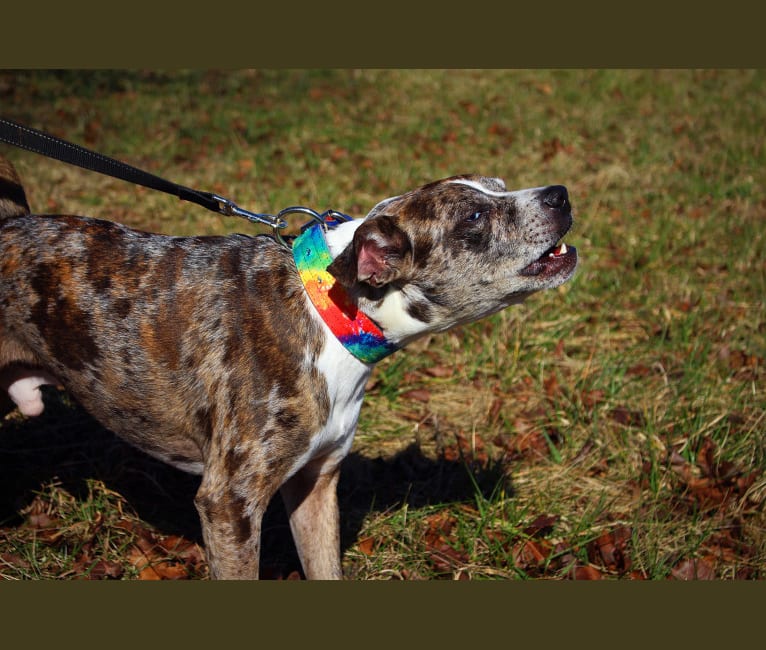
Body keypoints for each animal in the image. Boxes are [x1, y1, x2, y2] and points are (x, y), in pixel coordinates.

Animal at [0, 156, 576, 576]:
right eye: (474, 217)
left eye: (499, 186)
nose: (560, 194)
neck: (328, 310)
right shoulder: (229, 505)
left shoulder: (316, 487)